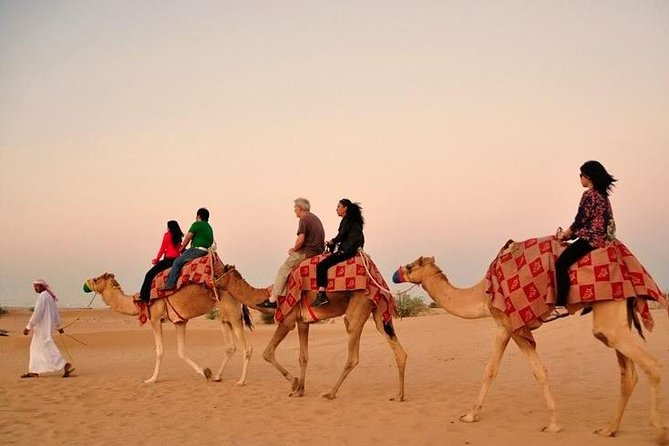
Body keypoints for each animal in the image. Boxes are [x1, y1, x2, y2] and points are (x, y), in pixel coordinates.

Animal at [84, 273, 253, 385]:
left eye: (97, 279)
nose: (86, 282)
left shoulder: (155, 318)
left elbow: (159, 350)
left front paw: (151, 379)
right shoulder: (179, 321)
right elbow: (181, 351)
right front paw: (206, 373)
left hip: (232, 313)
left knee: (247, 348)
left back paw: (241, 381)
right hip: (225, 317)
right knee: (230, 346)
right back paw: (218, 376)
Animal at [214, 265, 407, 401]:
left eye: (216, 274)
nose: (211, 283)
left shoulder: (288, 320)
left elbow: (267, 353)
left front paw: (293, 383)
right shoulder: (302, 322)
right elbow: (303, 357)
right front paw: (300, 390)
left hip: (358, 307)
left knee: (353, 354)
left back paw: (330, 393)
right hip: (378, 313)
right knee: (399, 351)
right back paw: (399, 396)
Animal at [394, 256, 668, 444]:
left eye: (410, 266)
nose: (395, 274)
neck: (482, 293)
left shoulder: (510, 325)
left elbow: (516, 370)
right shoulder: (509, 327)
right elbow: (517, 371)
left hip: (610, 318)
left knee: (652, 365)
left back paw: (659, 431)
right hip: (615, 320)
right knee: (628, 374)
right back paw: (609, 429)